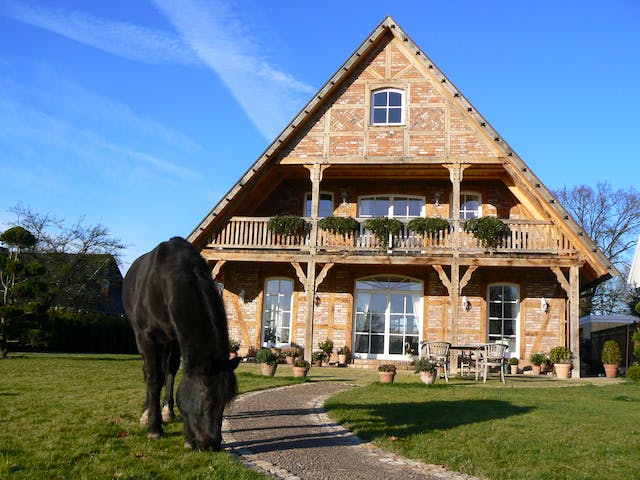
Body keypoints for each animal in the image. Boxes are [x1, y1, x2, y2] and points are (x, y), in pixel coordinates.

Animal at [122, 237, 240, 450]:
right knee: (149, 372)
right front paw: (154, 429)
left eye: (225, 402)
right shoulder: (147, 337)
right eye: (207, 399)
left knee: (168, 370)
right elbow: (153, 378)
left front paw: (177, 425)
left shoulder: (178, 339)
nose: (211, 444)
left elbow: (171, 374)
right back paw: (147, 413)